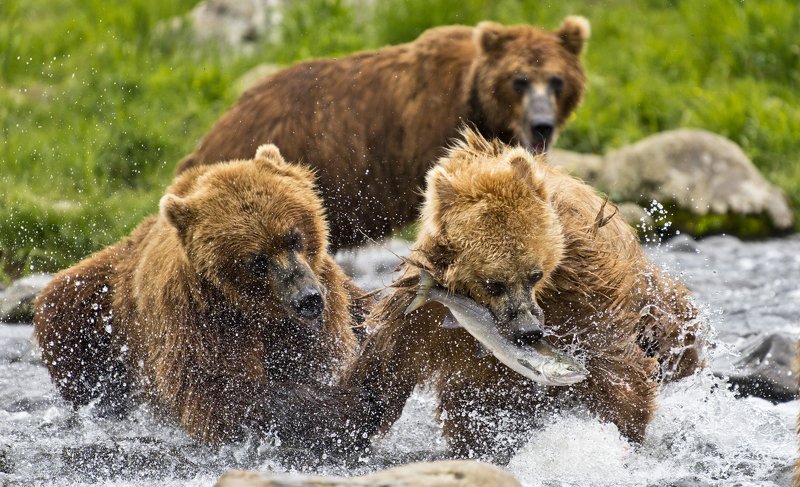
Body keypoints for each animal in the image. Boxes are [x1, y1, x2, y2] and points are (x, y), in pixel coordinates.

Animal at [34, 145, 372, 455]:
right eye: (257, 260)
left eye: (293, 237)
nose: (307, 298)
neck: (257, 311)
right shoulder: (200, 317)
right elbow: (218, 393)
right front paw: (342, 408)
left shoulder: (325, 301)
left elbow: (321, 353)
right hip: (98, 304)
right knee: (63, 316)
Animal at [342, 130, 704, 463]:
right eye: (493, 283)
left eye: (535, 274)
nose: (529, 331)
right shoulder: (422, 306)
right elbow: (385, 362)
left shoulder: (582, 282)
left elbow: (611, 358)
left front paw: (623, 428)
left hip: (652, 295)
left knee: (679, 328)